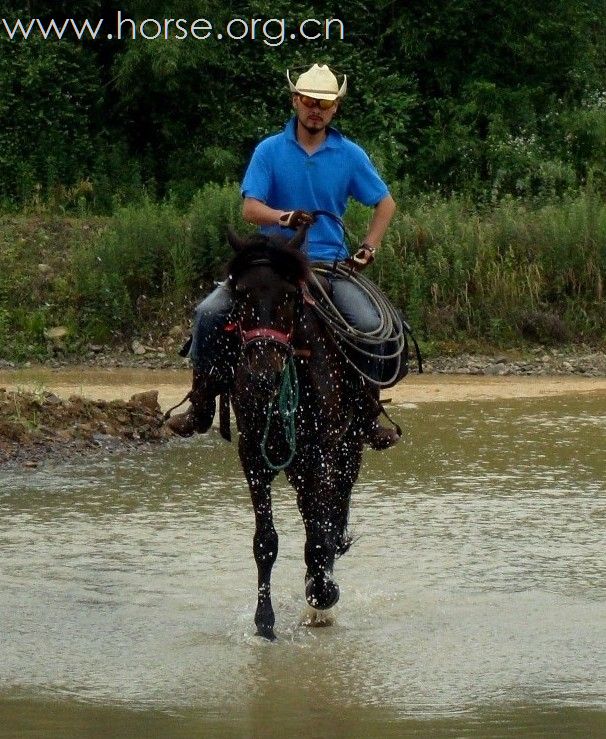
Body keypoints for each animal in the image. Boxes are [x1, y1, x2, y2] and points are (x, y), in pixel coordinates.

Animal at [226, 228, 366, 640]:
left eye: (289, 294)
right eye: (241, 294)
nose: (263, 375)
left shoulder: (322, 454)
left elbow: (321, 536)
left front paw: (323, 596)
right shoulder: (253, 458)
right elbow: (265, 542)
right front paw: (264, 622)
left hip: (345, 456)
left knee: (328, 517)